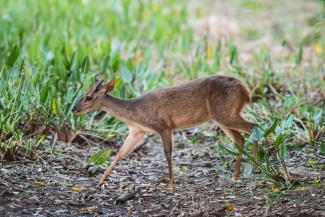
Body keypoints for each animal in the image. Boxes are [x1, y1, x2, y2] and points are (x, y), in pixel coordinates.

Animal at [72, 74, 256, 186]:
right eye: (83, 94)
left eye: (88, 97)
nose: (74, 109)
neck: (135, 113)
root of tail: (245, 90)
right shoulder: (137, 131)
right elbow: (119, 153)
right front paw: (101, 179)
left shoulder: (164, 125)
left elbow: (168, 153)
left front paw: (170, 183)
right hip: (221, 117)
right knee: (240, 138)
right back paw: (236, 174)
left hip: (225, 113)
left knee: (253, 126)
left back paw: (256, 166)